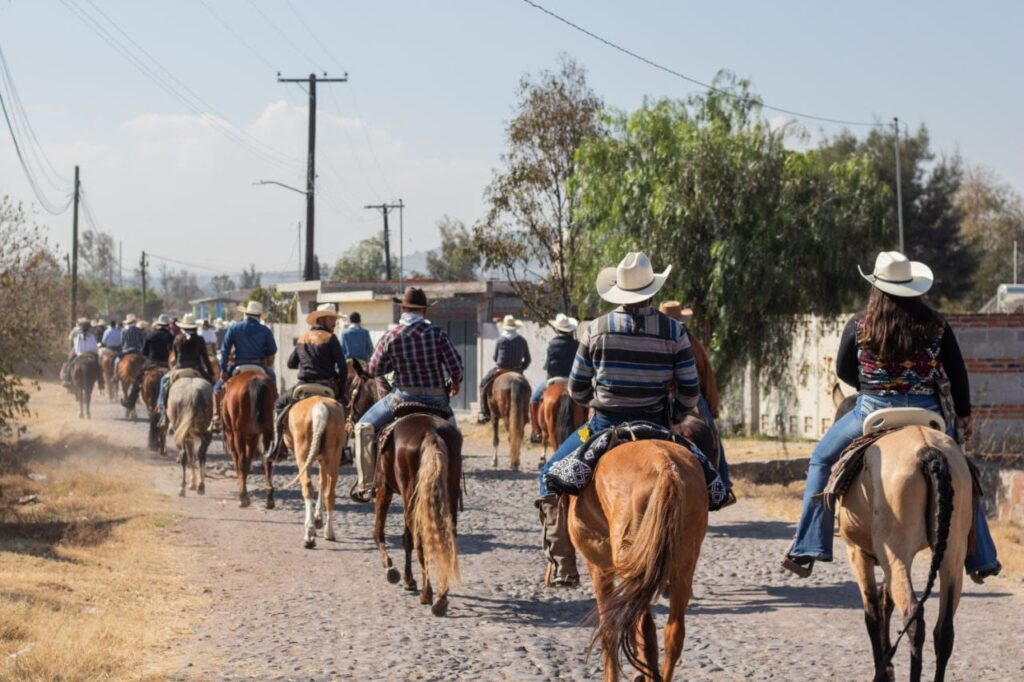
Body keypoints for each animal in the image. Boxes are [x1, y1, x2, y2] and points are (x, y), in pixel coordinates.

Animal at [220, 368, 276, 507]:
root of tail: (255, 381)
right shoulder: (253, 436)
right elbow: (249, 460)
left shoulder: (232, 434)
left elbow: (239, 459)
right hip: (268, 430)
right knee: (267, 460)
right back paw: (269, 498)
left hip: (238, 432)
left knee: (241, 459)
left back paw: (243, 497)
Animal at [282, 399, 350, 548]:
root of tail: (320, 407)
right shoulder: (322, 459)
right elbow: (322, 482)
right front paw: (318, 519)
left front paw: (315, 522)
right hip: (333, 455)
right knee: (329, 492)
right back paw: (329, 532)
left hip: (302, 455)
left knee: (307, 486)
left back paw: (309, 534)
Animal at [374, 413, 462, 614]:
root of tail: (431, 433)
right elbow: (407, 539)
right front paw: (409, 580)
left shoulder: (383, 488)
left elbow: (379, 532)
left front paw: (390, 568)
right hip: (447, 495)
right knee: (446, 537)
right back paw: (441, 595)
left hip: (409, 496)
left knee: (421, 540)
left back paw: (427, 594)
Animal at [565, 438, 708, 675]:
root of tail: (665, 466)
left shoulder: (599, 568)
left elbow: (609, 631)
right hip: (682, 569)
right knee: (672, 633)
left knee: (642, 631)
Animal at [827, 387, 970, 679]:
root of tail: (927, 450)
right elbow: (885, 602)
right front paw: (888, 665)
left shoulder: (858, 553)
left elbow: (871, 612)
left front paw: (884, 670)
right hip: (951, 556)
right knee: (944, 630)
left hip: (896, 555)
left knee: (914, 618)